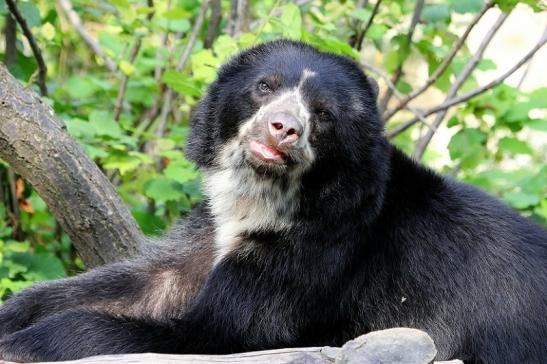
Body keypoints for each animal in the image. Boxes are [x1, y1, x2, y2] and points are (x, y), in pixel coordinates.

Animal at [1, 40, 547, 364]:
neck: (266, 197)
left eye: (323, 113)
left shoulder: (319, 255)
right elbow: (144, 284)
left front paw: (23, 343)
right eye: (264, 87)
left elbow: (217, 333)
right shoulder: (210, 231)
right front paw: (14, 316)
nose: (282, 128)